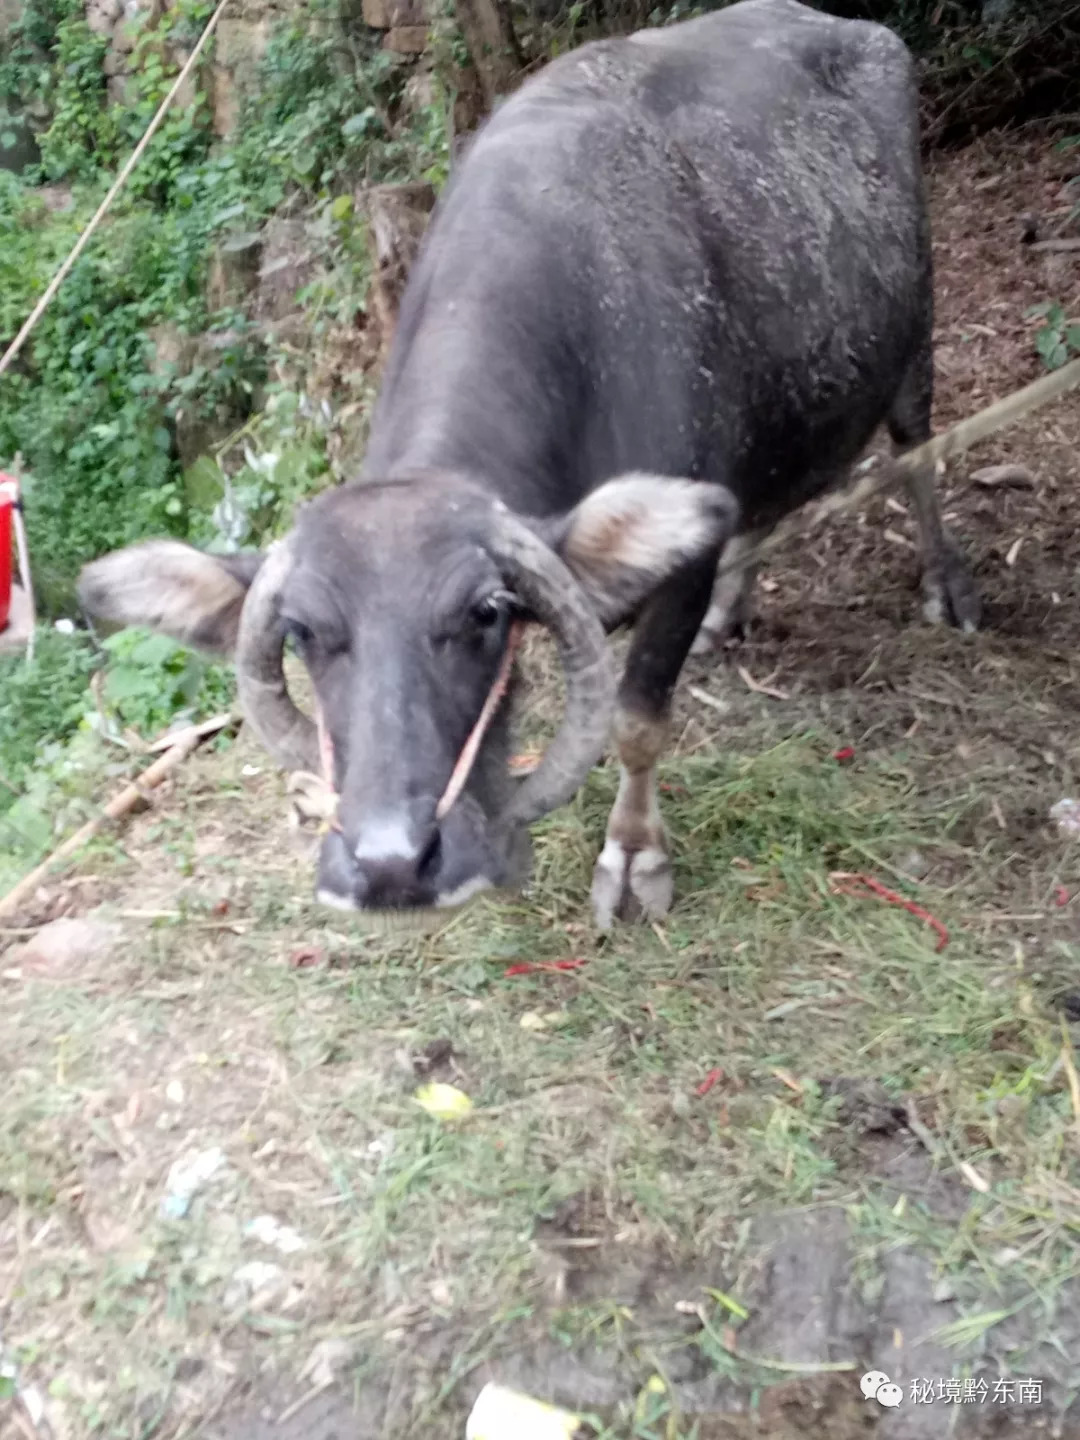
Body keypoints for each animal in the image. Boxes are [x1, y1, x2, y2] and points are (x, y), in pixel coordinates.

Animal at [76, 0, 979, 921]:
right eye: (299, 631)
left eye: (484, 612)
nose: (390, 863)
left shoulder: (674, 573)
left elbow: (636, 720)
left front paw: (634, 857)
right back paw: (735, 608)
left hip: (916, 337)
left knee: (919, 453)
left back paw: (946, 585)